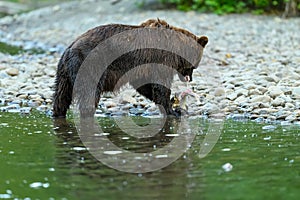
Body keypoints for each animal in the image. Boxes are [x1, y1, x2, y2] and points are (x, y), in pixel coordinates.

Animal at [52, 18, 207, 117]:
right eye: (195, 66)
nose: (190, 78)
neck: (176, 49)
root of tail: (70, 47)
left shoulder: (141, 67)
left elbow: (144, 85)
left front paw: (172, 104)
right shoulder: (159, 59)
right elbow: (160, 86)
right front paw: (173, 111)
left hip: (64, 72)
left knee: (61, 95)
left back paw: (58, 113)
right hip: (90, 64)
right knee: (89, 93)